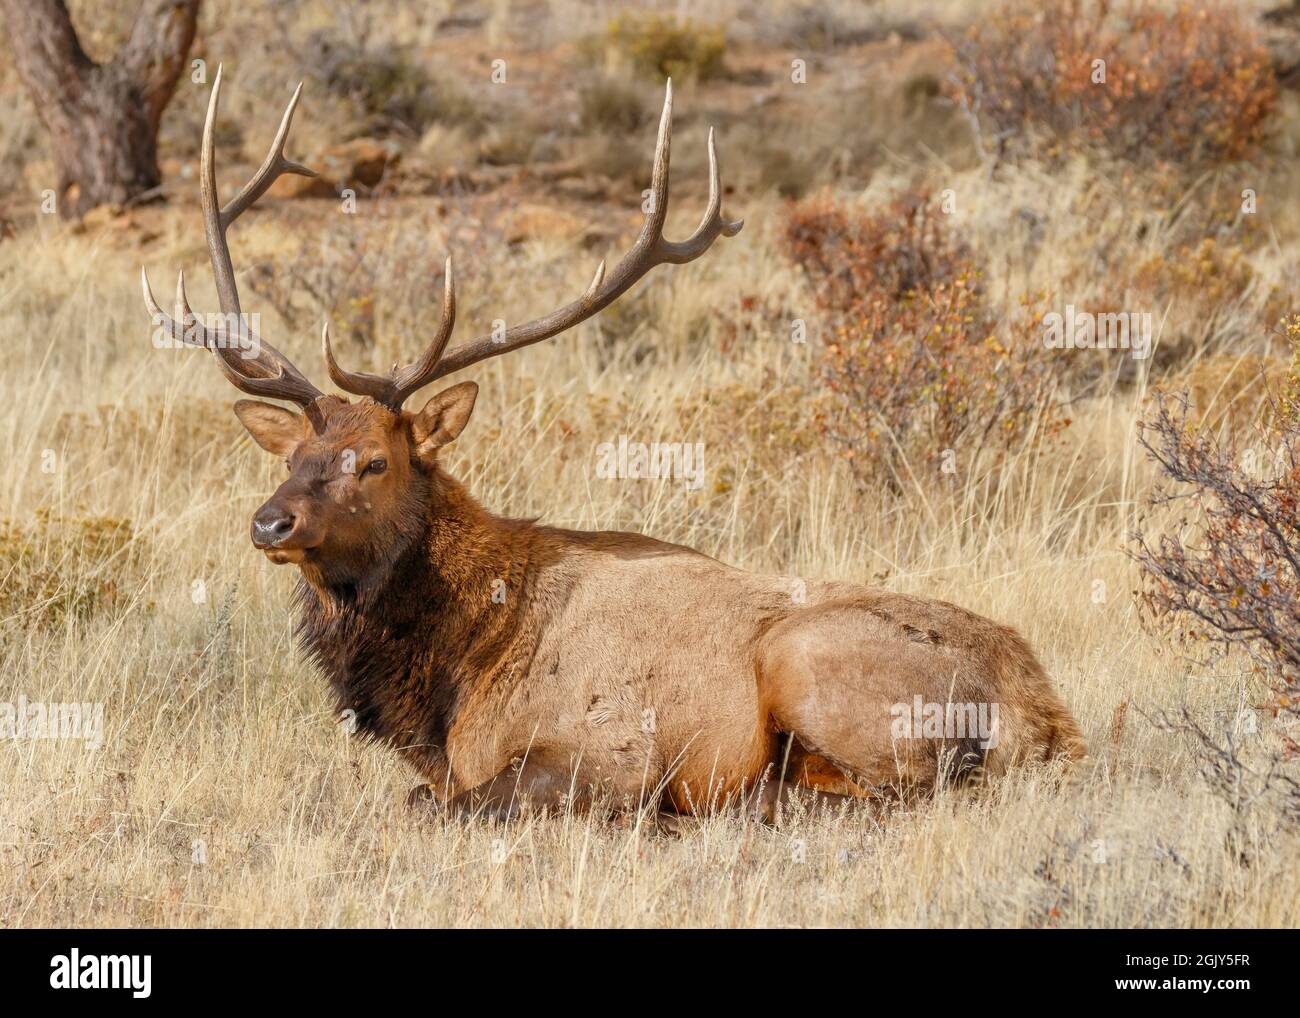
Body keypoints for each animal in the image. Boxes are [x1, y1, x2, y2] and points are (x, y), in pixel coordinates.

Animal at [139, 69, 1086, 821]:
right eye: (290, 458)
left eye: (375, 462)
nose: (271, 523)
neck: (452, 673)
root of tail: (1043, 713)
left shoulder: (608, 750)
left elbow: (446, 803)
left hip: (806, 659)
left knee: (897, 792)